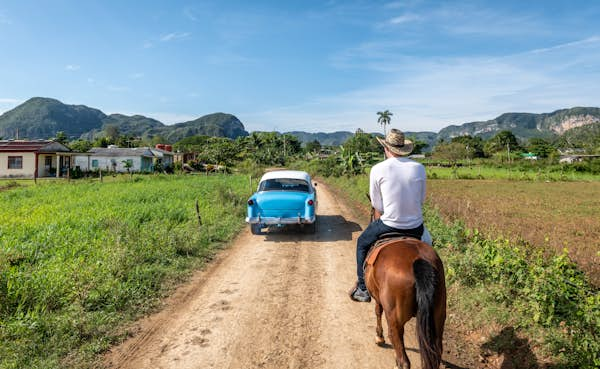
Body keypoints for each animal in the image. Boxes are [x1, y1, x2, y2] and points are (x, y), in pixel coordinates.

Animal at [366, 236, 446, 368]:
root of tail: (418, 260)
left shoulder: (378, 298)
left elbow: (378, 311)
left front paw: (379, 337)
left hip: (395, 320)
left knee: (403, 359)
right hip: (438, 318)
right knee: (436, 355)